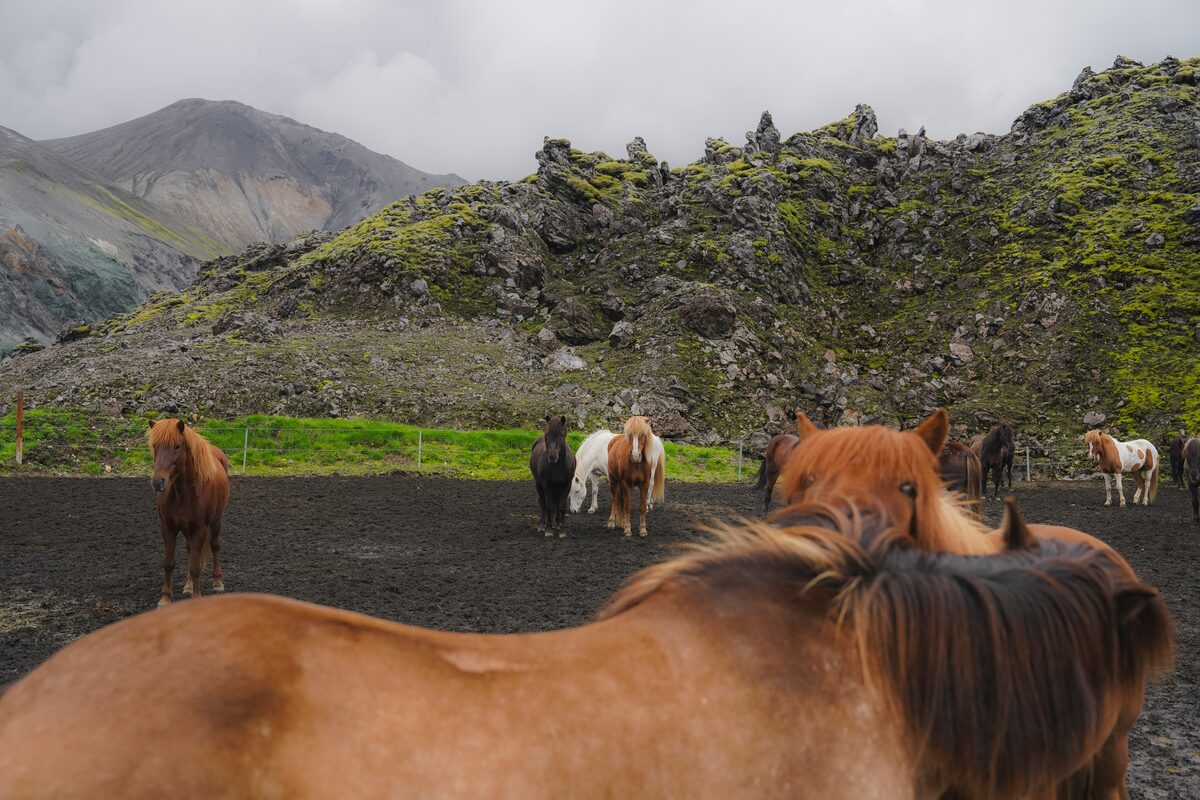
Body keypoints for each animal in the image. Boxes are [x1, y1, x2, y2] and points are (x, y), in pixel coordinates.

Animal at [147, 418, 230, 607]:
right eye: (155, 446)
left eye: (177, 446)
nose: (158, 482)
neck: (183, 493)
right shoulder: (168, 527)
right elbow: (169, 563)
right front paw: (165, 598)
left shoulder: (200, 529)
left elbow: (195, 566)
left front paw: (196, 597)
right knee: (190, 550)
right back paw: (189, 585)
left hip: (216, 522)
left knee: (215, 545)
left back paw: (217, 581)